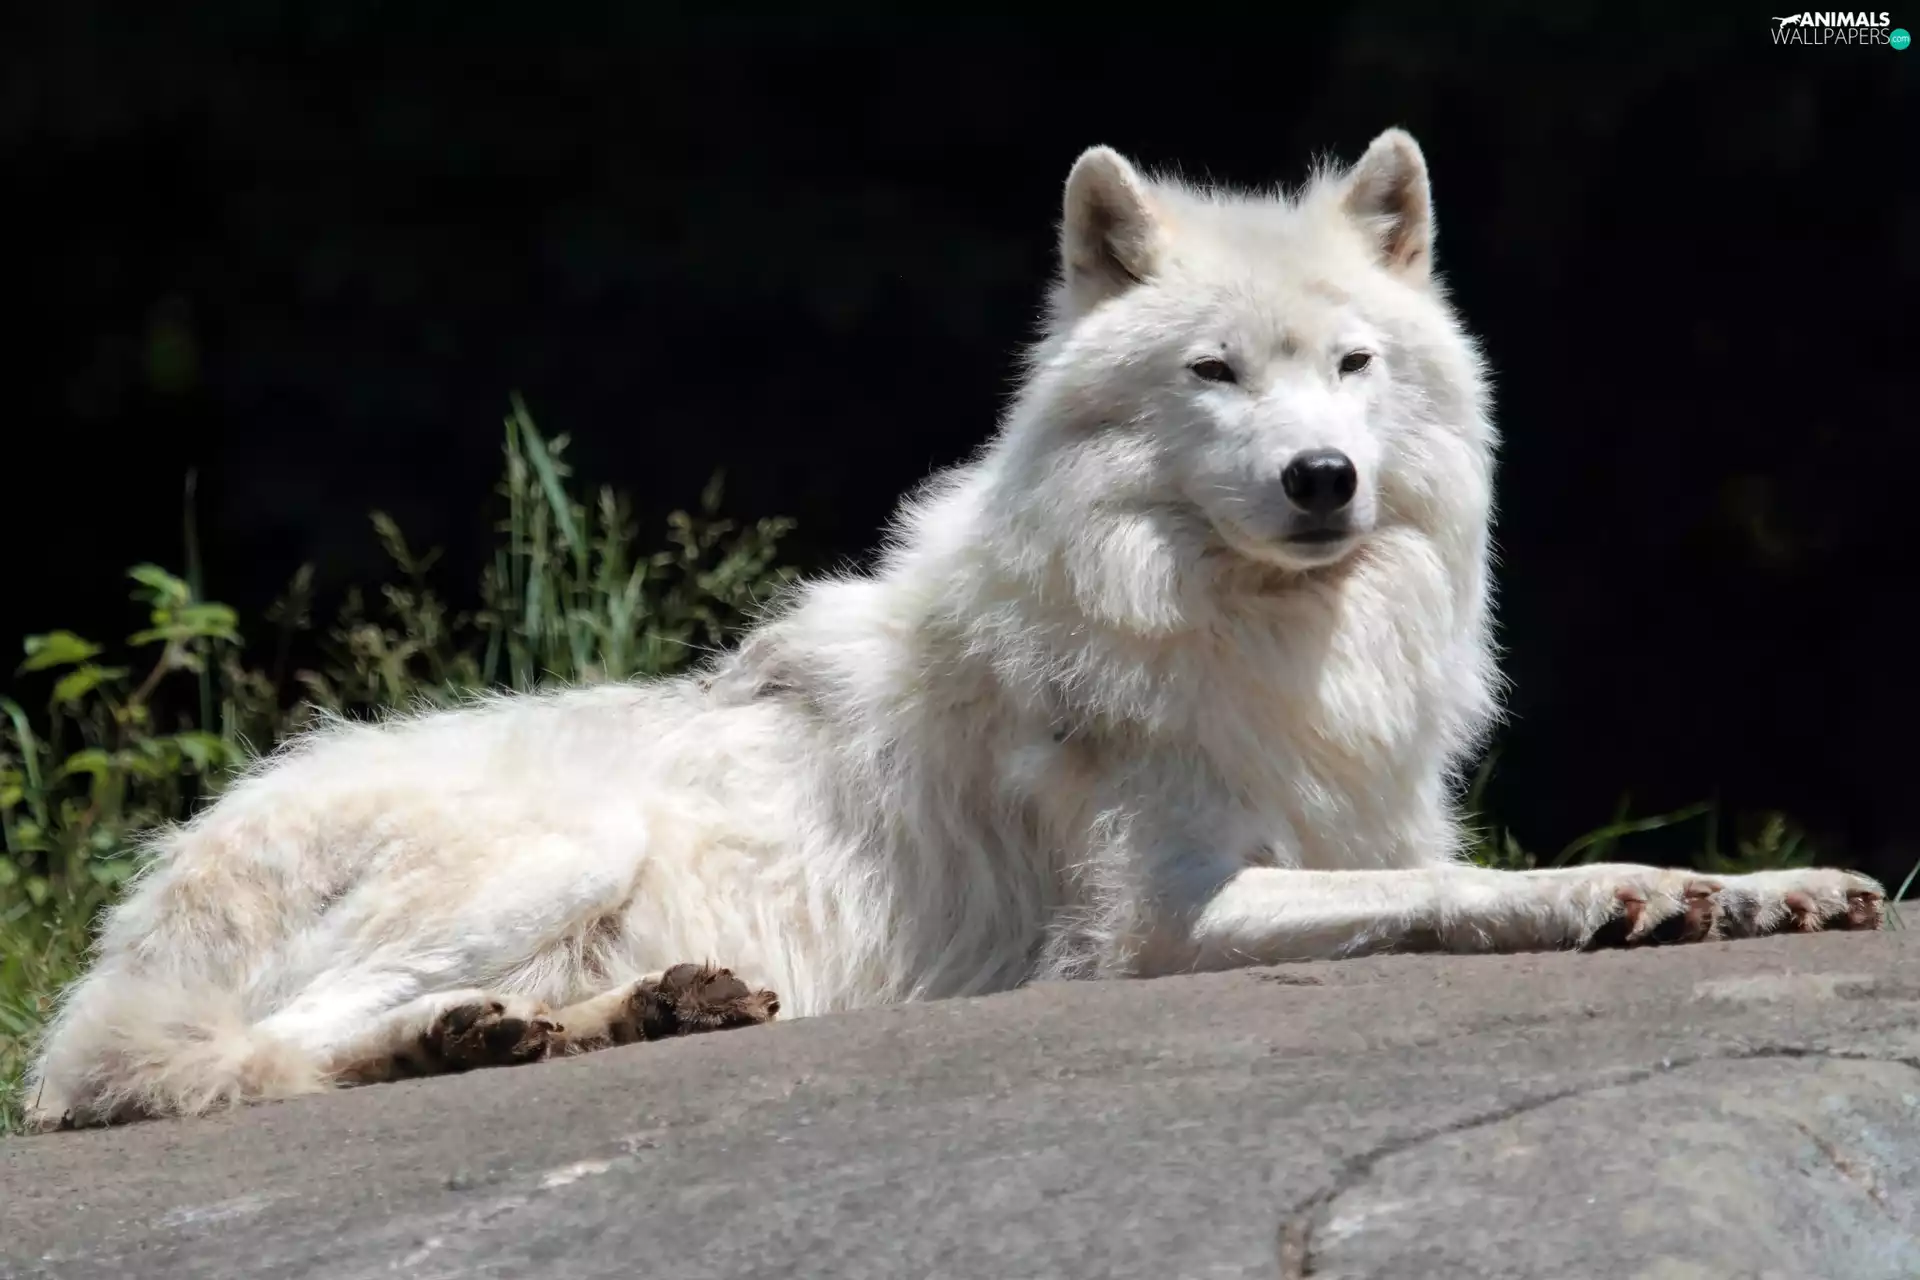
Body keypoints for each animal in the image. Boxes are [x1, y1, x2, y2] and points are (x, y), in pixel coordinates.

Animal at [26, 128, 1886, 1130]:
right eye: (1215, 374)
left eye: (1353, 364)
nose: (1323, 478)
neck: (1259, 645)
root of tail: (146, 909)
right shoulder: (1157, 927)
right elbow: (1465, 894)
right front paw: (1618, 899)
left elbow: (1524, 868)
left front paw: (1762, 893)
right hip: (563, 847)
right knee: (257, 1054)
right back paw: (470, 1038)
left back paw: (631, 1018)